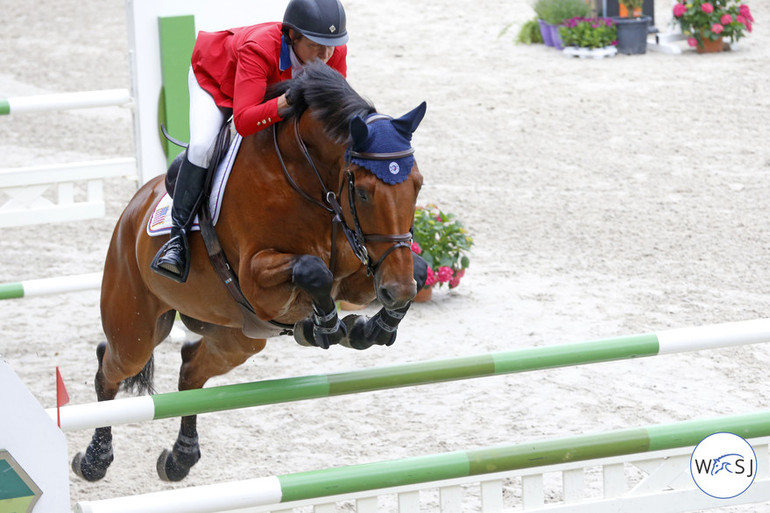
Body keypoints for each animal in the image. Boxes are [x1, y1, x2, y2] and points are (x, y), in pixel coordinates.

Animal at [73, 62, 426, 482]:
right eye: (365, 192)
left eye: (417, 186)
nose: (397, 290)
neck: (308, 180)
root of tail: (133, 209)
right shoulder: (257, 281)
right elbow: (314, 271)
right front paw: (326, 326)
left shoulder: (364, 267)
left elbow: (417, 270)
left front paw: (373, 327)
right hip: (137, 328)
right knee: (109, 367)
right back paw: (94, 459)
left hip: (238, 337)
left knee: (191, 368)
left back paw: (180, 457)